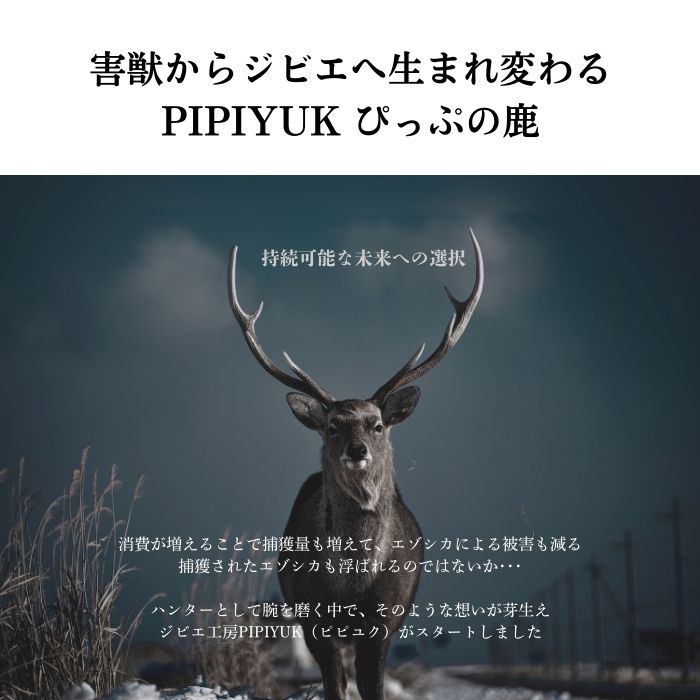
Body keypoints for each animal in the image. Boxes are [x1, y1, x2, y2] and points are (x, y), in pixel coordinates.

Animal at [227, 230, 483, 700]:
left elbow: (373, 687)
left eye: (378, 424)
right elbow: (334, 685)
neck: (349, 587)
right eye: (332, 426)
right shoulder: (312, 617)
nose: (357, 449)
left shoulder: (384, 621)